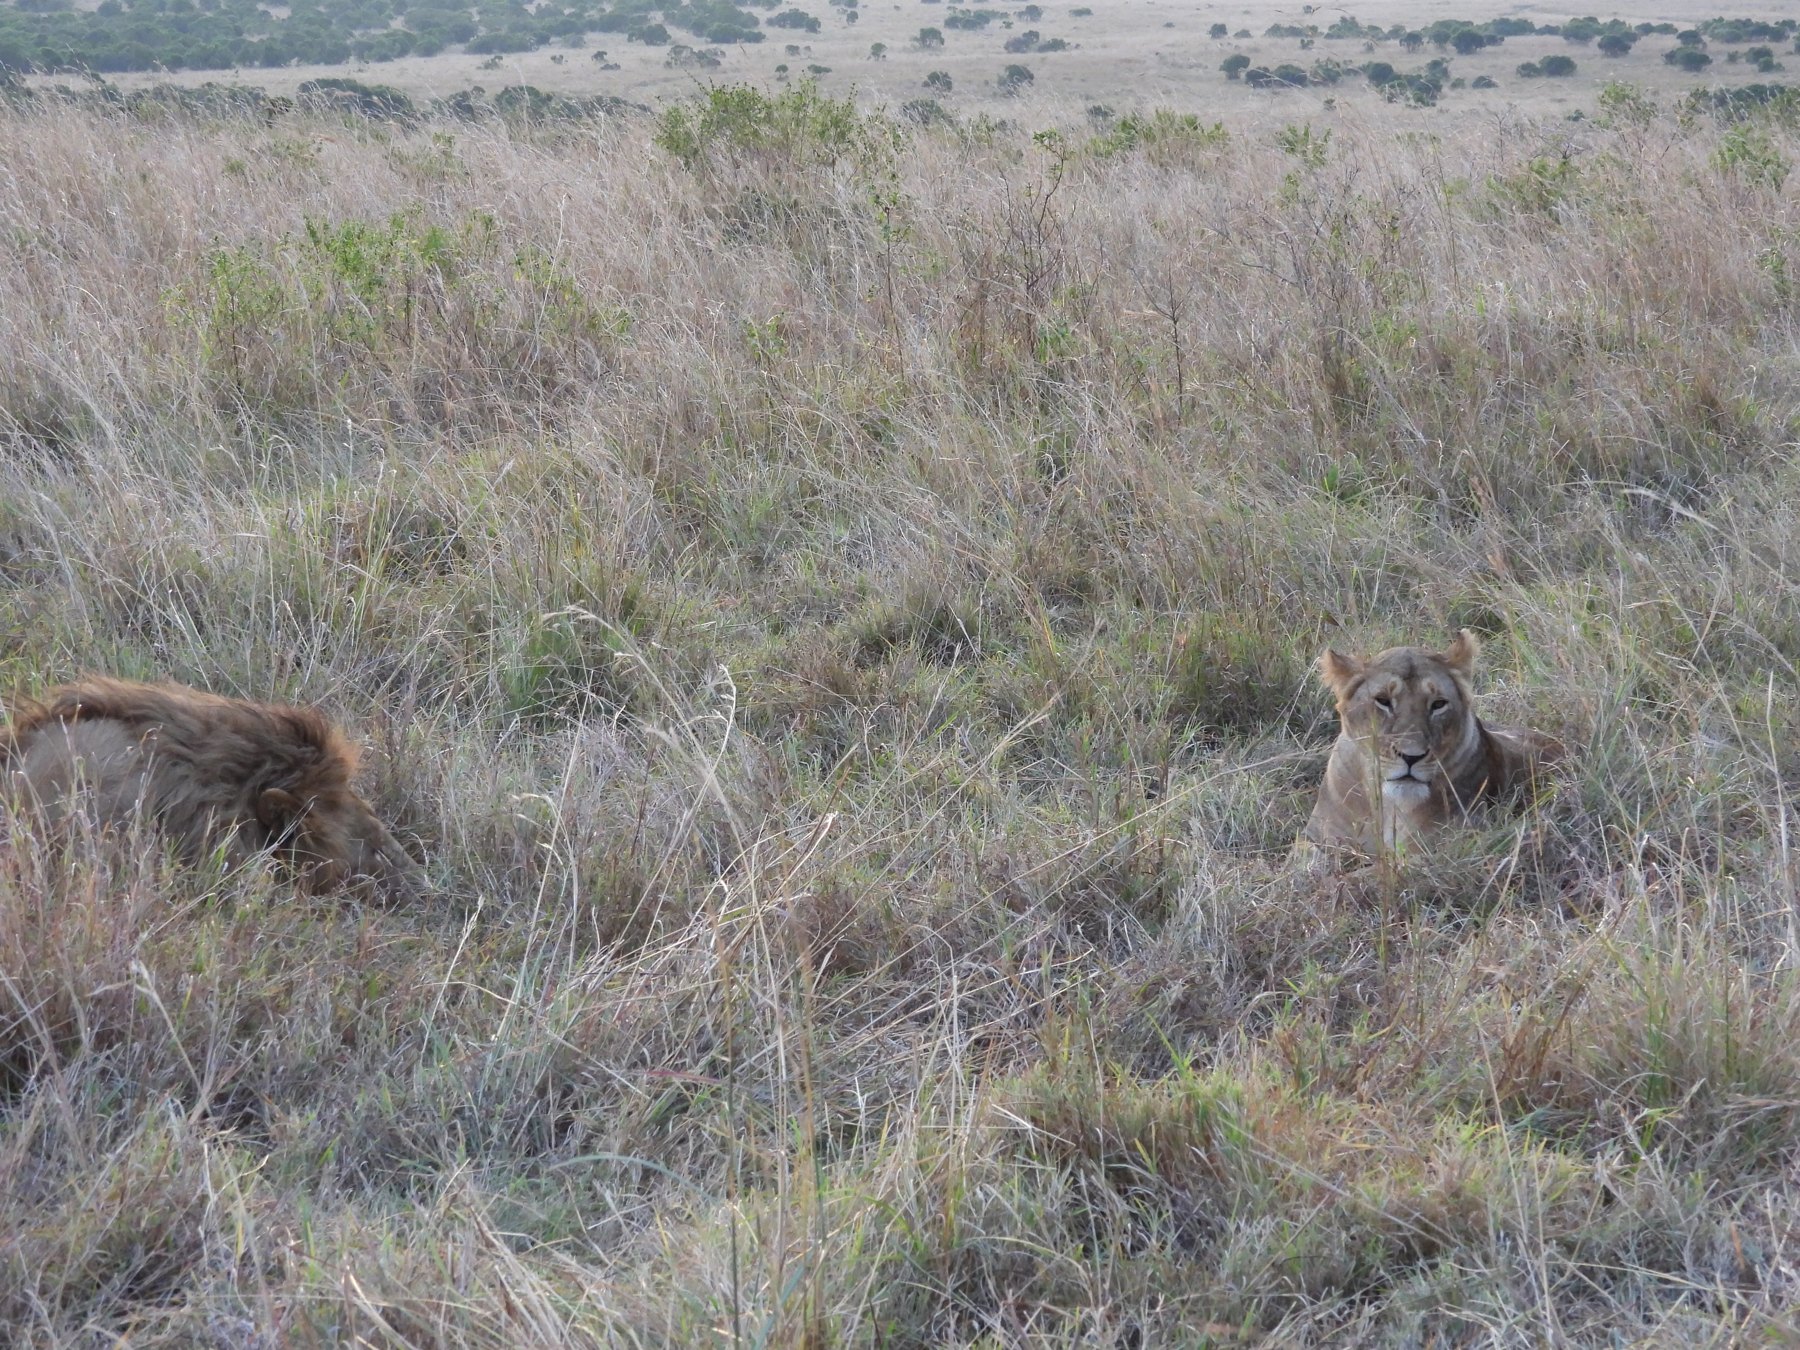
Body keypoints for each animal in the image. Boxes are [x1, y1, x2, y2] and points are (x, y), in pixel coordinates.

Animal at [1301, 630, 1560, 859]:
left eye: (1438, 704)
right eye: (1383, 701)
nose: (1411, 757)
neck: (1387, 807)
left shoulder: (1439, 850)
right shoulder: (1316, 836)